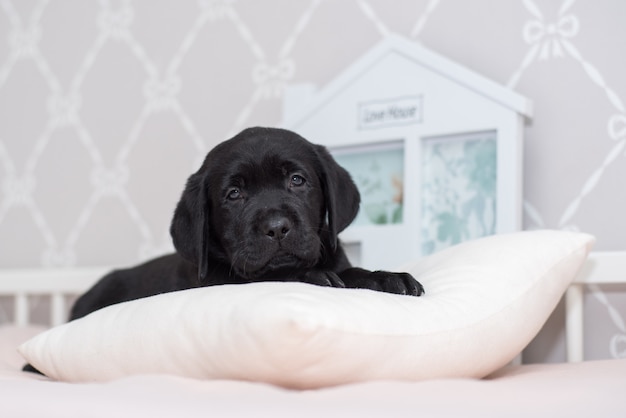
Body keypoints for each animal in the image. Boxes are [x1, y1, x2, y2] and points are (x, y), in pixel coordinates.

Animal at [70, 127, 422, 320]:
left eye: (297, 180)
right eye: (234, 194)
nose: (277, 227)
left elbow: (352, 272)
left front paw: (385, 278)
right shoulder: (219, 283)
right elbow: (268, 278)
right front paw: (312, 276)